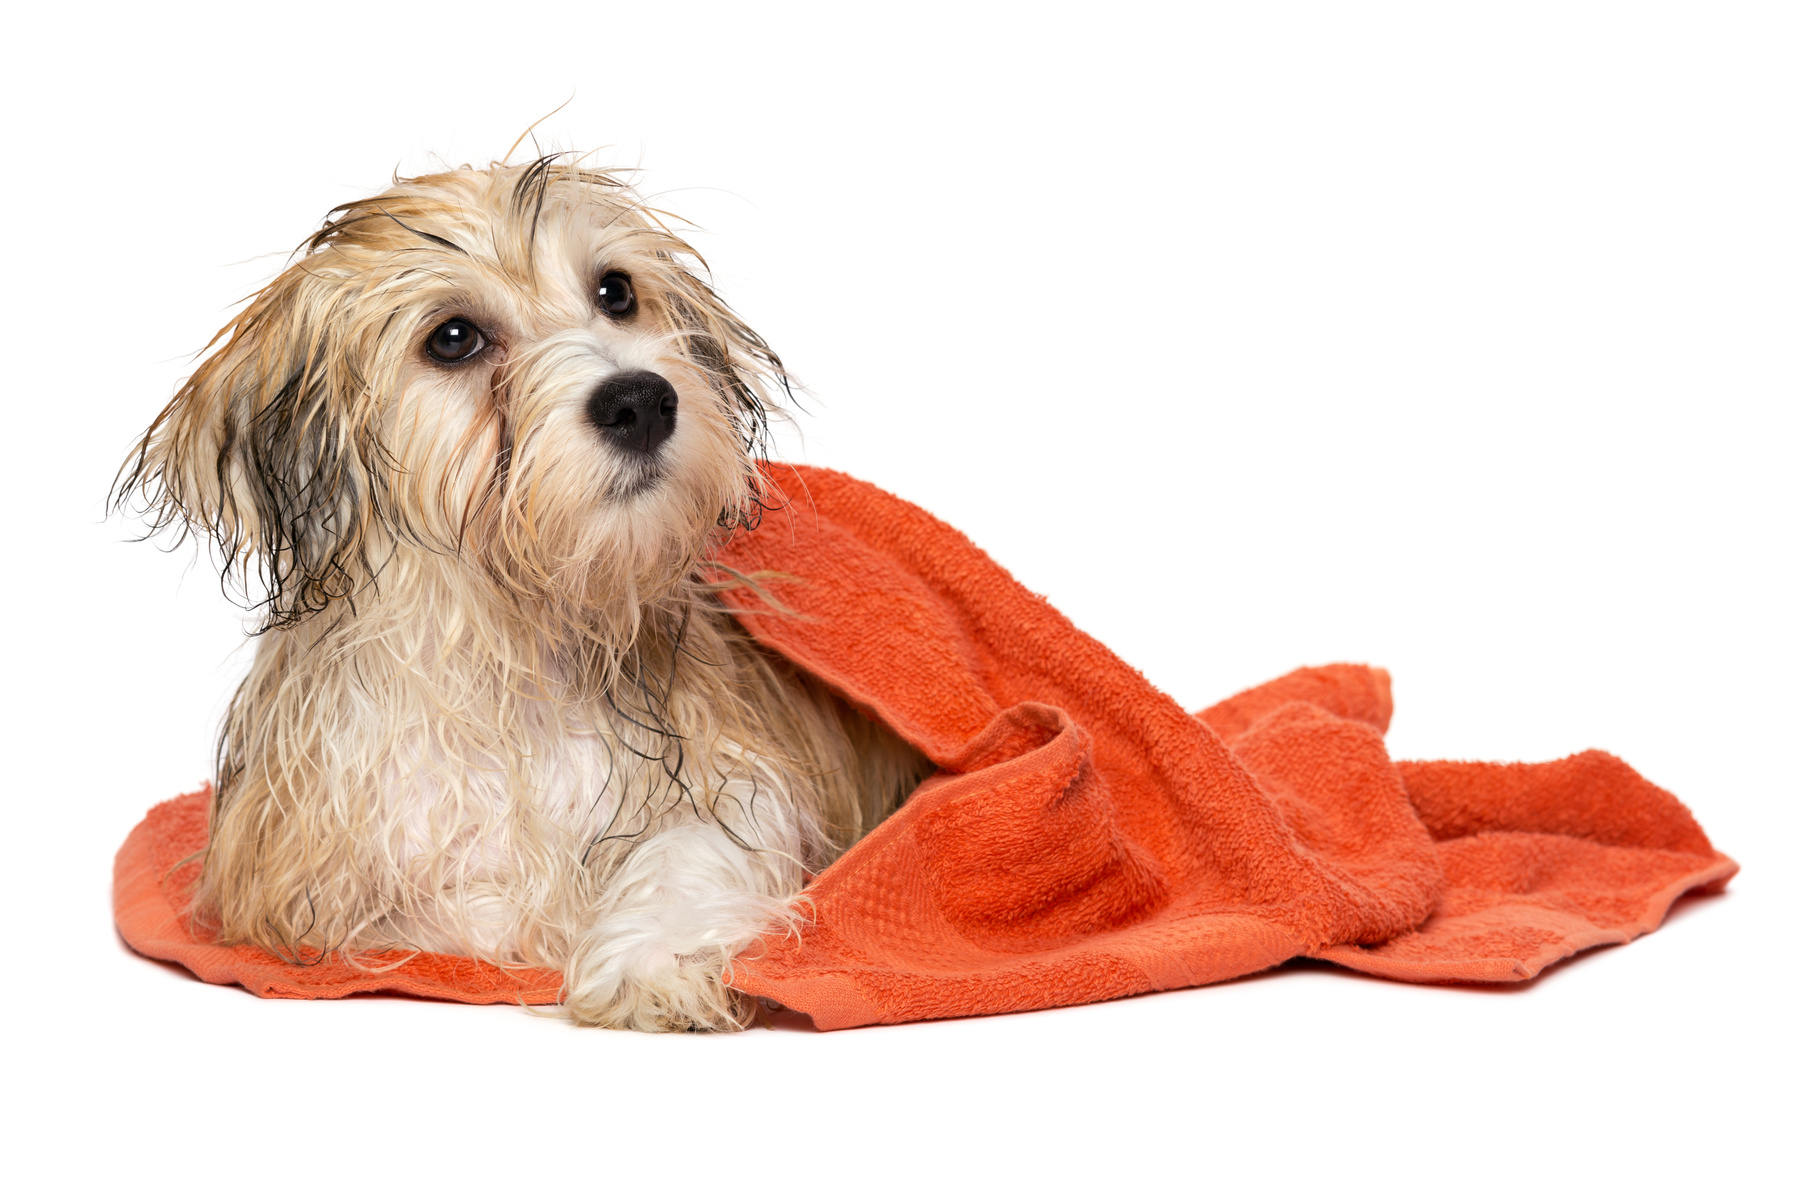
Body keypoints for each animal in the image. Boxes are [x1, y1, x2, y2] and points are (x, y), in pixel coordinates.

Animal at [116, 154, 928, 1029]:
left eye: (615, 291)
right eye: (453, 338)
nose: (640, 400)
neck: (514, 646)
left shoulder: (739, 770)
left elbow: (696, 849)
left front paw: (649, 959)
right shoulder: (295, 884)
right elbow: (454, 902)